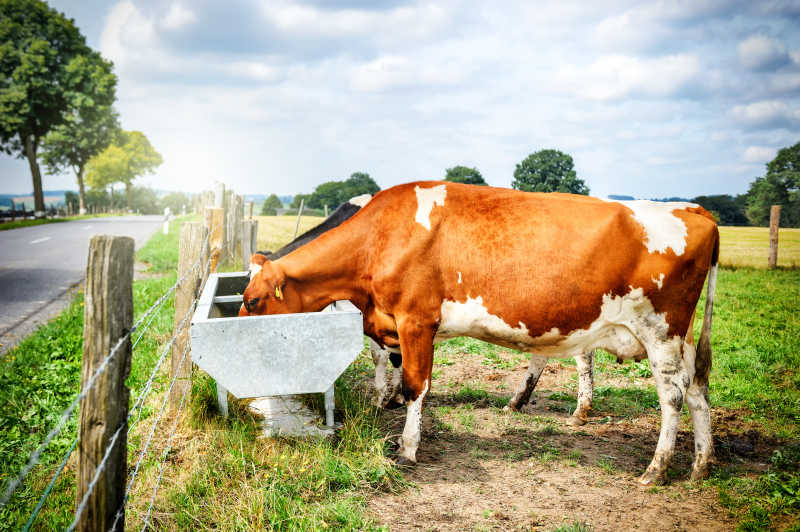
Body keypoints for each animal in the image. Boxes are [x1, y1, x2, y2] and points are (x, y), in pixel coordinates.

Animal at [239, 181, 720, 484]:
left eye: (253, 301)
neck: (379, 237)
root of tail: (692, 208)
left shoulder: (415, 321)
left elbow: (415, 385)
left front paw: (406, 446)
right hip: (677, 341)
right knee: (697, 392)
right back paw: (701, 465)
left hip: (660, 332)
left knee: (672, 397)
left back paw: (656, 469)